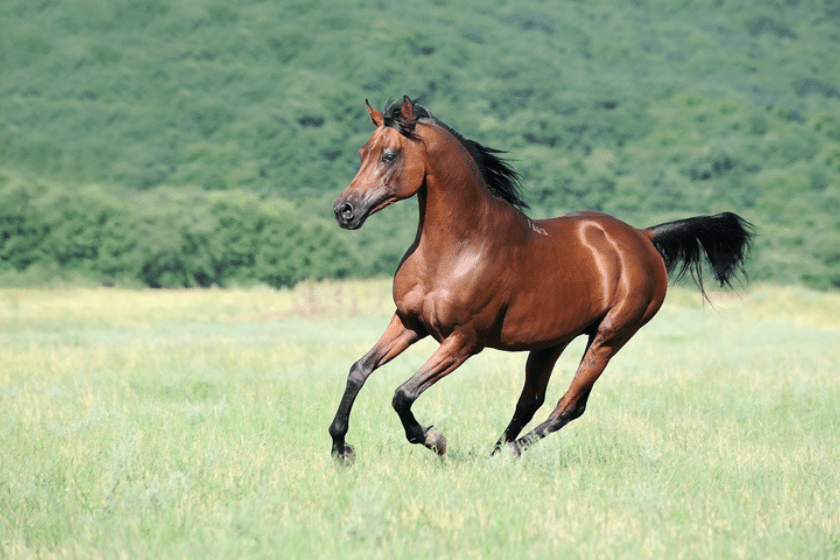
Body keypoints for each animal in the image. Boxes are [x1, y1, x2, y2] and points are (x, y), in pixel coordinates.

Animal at [328, 97, 756, 464]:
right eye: (363, 152)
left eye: (389, 155)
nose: (344, 210)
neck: (457, 249)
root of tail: (643, 236)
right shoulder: (408, 322)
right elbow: (358, 370)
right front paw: (340, 449)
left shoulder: (464, 341)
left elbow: (403, 394)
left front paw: (435, 439)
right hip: (552, 340)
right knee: (530, 400)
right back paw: (495, 453)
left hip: (610, 336)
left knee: (570, 404)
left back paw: (509, 453)